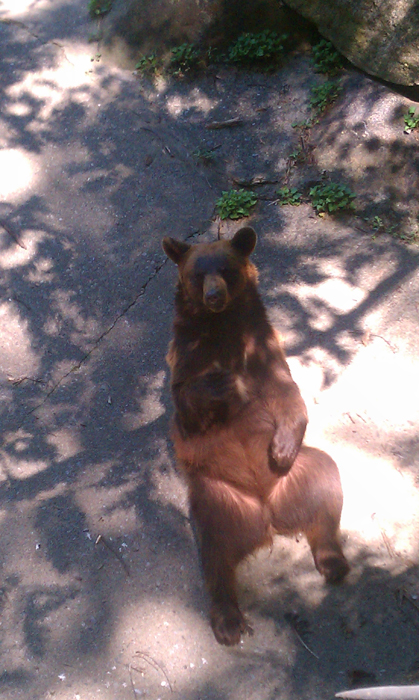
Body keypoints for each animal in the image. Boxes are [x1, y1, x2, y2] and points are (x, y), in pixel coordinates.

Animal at [162, 228, 350, 644]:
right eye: (197, 274)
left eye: (226, 270)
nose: (213, 296)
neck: (222, 331)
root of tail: (267, 514)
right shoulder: (185, 359)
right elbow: (187, 409)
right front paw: (220, 384)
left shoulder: (266, 350)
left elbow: (289, 396)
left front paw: (280, 447)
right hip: (215, 499)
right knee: (213, 555)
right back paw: (228, 620)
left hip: (302, 473)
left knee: (327, 487)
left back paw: (333, 560)